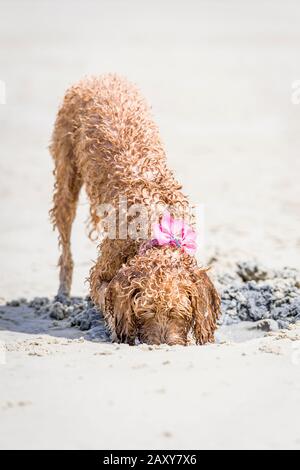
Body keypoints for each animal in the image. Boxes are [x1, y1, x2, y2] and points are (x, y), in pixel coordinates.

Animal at [49, 73, 220, 346]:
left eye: (181, 313)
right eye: (145, 312)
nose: (163, 345)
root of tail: (99, 75)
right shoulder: (101, 273)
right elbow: (107, 298)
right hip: (66, 180)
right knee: (65, 246)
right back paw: (63, 294)